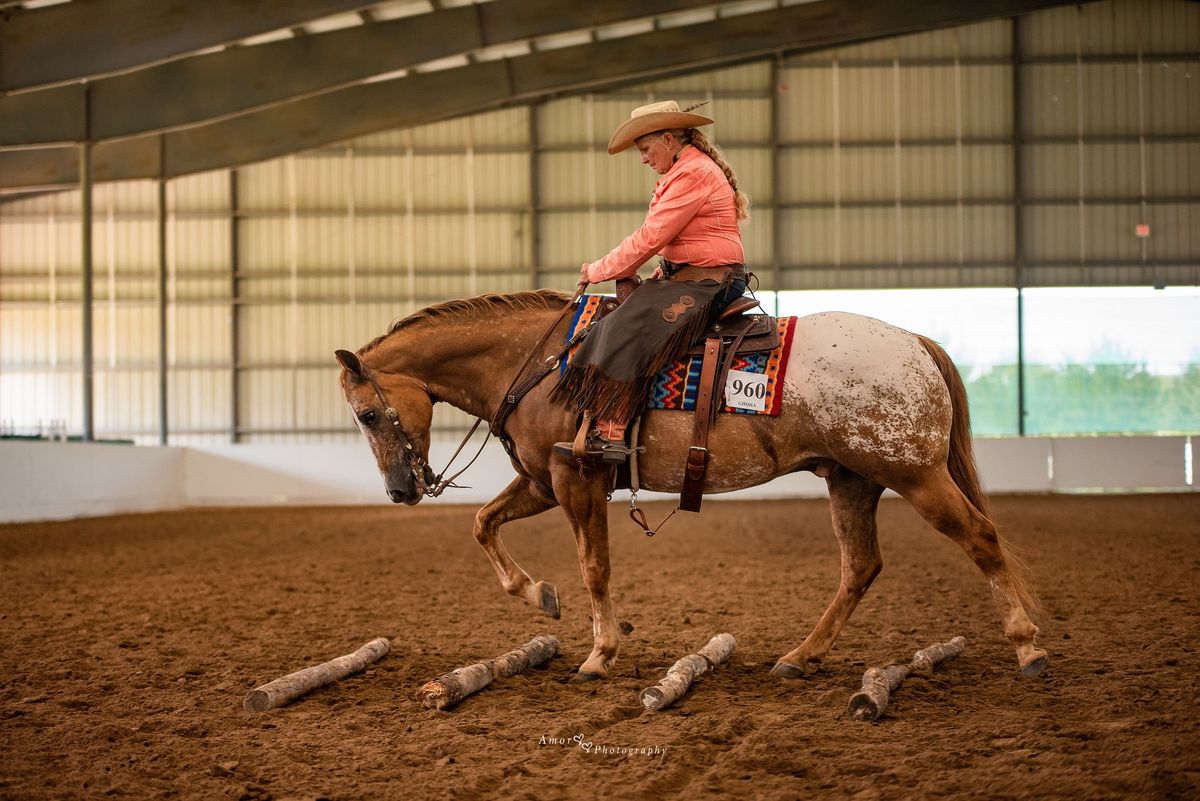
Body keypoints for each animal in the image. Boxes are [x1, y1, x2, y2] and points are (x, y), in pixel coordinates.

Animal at [338, 287, 1051, 681]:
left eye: (368, 414)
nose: (401, 491)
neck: (540, 363)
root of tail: (913, 342)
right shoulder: (542, 481)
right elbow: (482, 523)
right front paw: (538, 595)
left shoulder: (576, 477)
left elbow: (594, 565)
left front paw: (600, 654)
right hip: (852, 481)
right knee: (860, 566)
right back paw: (800, 656)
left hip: (914, 474)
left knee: (982, 539)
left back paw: (1028, 651)